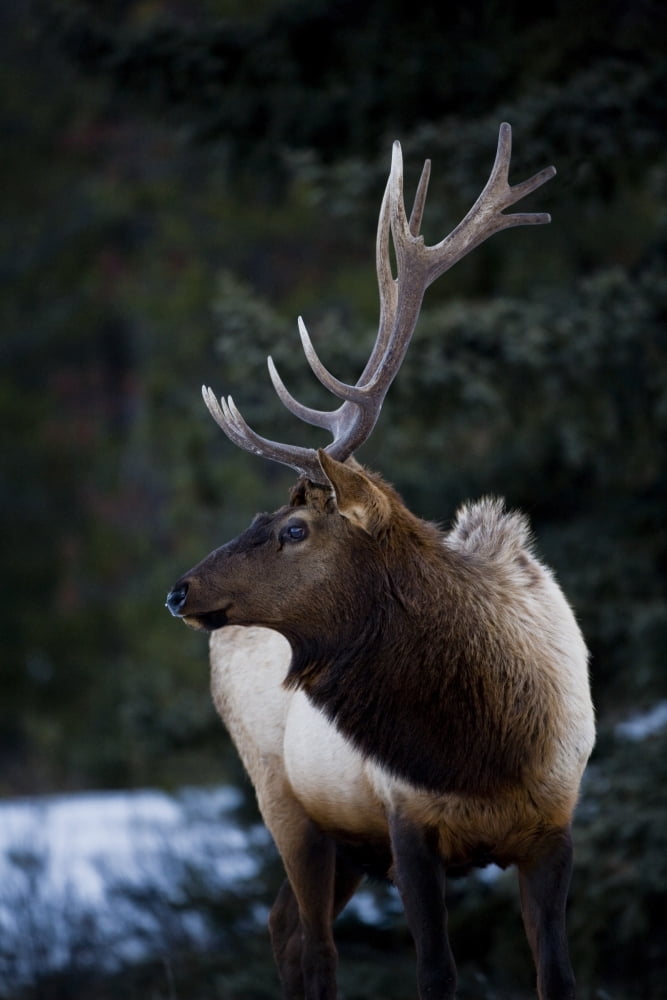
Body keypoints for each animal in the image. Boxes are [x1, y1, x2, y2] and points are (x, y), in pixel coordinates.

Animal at [166, 123, 595, 1000]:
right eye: (262, 517)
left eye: (294, 529)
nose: (180, 590)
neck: (486, 754)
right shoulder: (404, 824)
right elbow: (434, 973)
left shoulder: (553, 826)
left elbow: (558, 977)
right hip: (286, 801)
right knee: (312, 945)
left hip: (343, 843)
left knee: (283, 926)